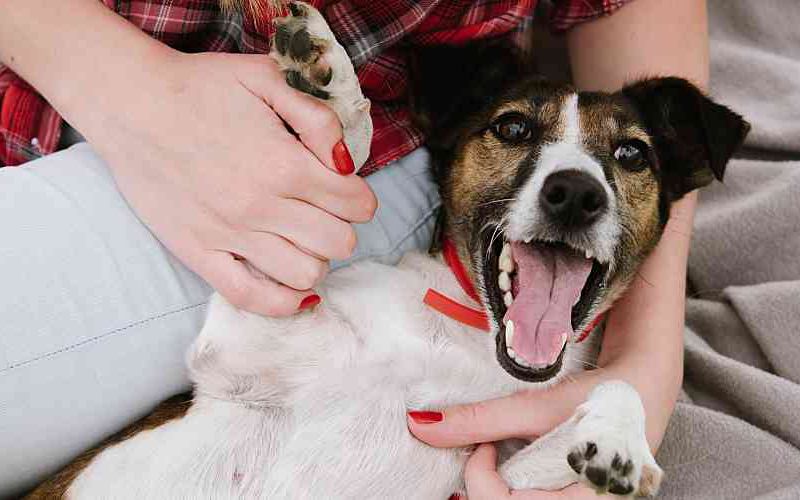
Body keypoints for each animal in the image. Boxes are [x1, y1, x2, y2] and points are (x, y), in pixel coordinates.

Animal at [26, 1, 752, 498]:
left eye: (631, 154)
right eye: (512, 128)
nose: (575, 194)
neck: (460, 337)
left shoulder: (487, 473)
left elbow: (620, 388)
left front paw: (622, 444)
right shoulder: (244, 342)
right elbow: (336, 159)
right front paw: (329, 84)